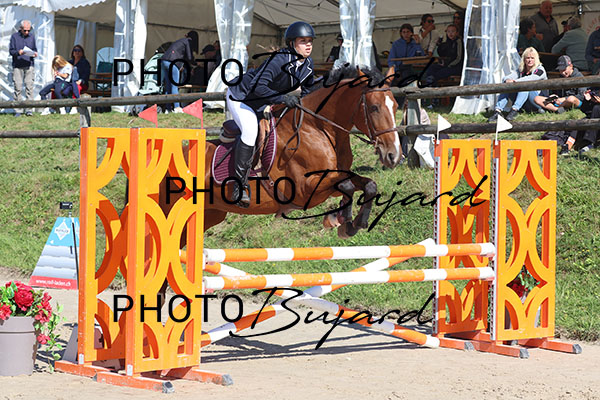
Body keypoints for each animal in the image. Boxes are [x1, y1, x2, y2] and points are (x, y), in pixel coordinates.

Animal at [160, 66, 402, 239]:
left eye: (396, 106)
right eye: (374, 108)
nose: (394, 155)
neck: (318, 127)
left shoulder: (333, 178)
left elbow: (367, 184)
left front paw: (353, 223)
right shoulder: (306, 188)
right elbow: (348, 185)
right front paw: (342, 221)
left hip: (209, 215)